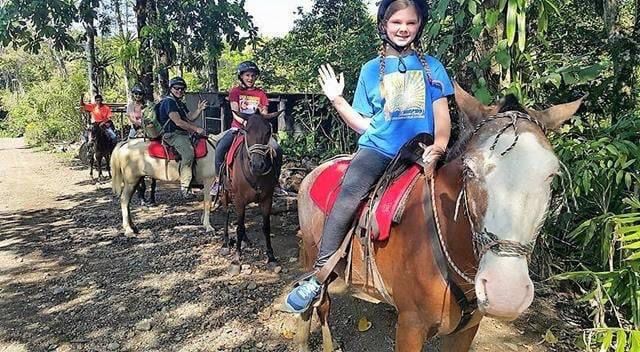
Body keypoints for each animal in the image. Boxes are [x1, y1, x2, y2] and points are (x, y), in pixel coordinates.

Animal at [220, 111, 280, 268]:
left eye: (268, 132)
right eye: (247, 131)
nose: (258, 165)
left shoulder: (267, 199)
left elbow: (266, 227)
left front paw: (271, 256)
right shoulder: (239, 199)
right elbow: (239, 227)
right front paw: (237, 257)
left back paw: (246, 240)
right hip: (225, 192)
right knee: (226, 214)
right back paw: (225, 243)